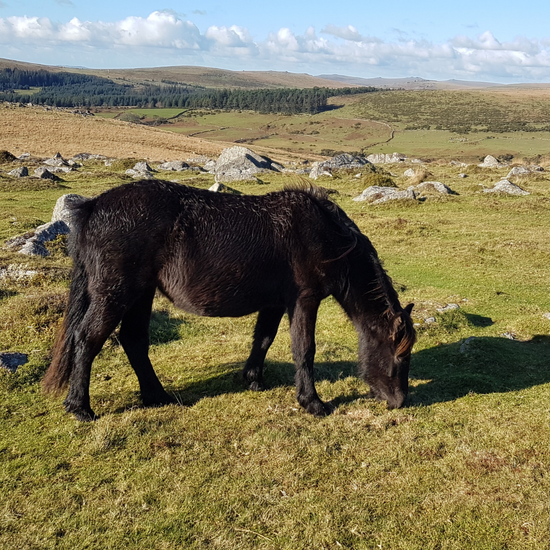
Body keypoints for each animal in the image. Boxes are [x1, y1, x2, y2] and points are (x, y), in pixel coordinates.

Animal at [43, 182, 416, 422]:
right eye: (399, 356)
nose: (399, 402)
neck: (326, 235)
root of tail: (93, 207)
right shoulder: (304, 300)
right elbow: (304, 349)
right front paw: (312, 403)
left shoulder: (275, 303)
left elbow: (263, 339)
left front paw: (253, 379)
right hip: (116, 293)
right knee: (87, 339)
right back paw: (80, 408)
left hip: (141, 293)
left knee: (133, 341)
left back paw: (158, 397)